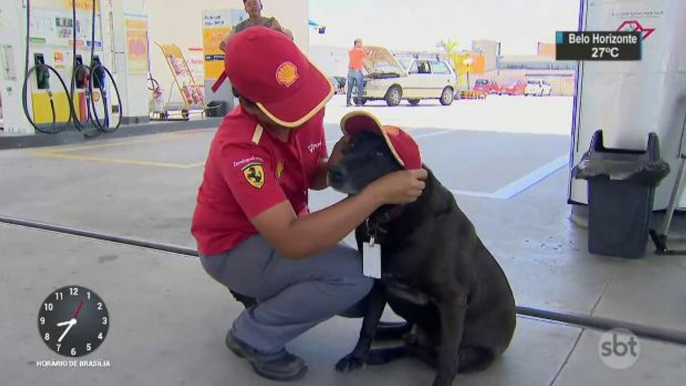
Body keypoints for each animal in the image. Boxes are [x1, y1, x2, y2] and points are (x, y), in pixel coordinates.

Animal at [328, 130, 516, 386]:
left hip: (475, 355)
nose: (333, 171)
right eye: (352, 145)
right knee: (408, 335)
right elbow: (368, 324)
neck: (391, 215)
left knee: (421, 351)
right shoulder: (379, 283)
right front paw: (356, 357)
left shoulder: (452, 300)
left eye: (380, 154)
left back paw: (383, 352)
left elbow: (448, 357)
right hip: (400, 300)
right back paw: (382, 340)